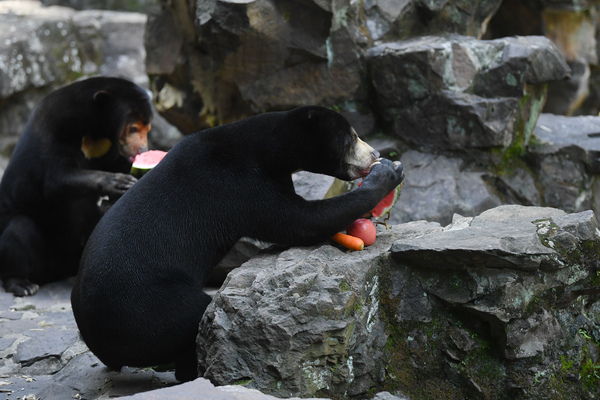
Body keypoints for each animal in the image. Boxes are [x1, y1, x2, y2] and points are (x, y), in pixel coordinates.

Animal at [0, 76, 154, 296]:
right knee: (17, 231)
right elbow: (56, 179)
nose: (142, 150)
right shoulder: (56, 130)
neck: (95, 130)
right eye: (133, 128)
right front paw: (118, 182)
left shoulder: (109, 148)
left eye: (148, 128)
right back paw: (22, 284)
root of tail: (61, 267)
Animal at [72, 105, 406, 382]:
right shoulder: (239, 184)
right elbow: (298, 221)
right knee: (191, 316)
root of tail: (95, 340)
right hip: (147, 305)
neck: (266, 148)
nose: (375, 153)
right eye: (352, 137)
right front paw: (389, 172)